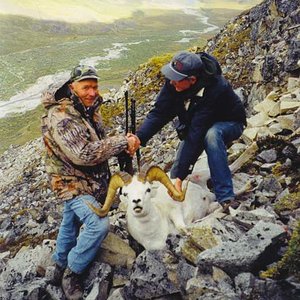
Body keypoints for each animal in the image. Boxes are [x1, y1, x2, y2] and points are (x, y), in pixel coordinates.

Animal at [86, 165, 218, 250]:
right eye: (126, 194)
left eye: (148, 189)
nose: (136, 201)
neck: (154, 232)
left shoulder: (174, 211)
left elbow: (181, 227)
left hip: (210, 195)